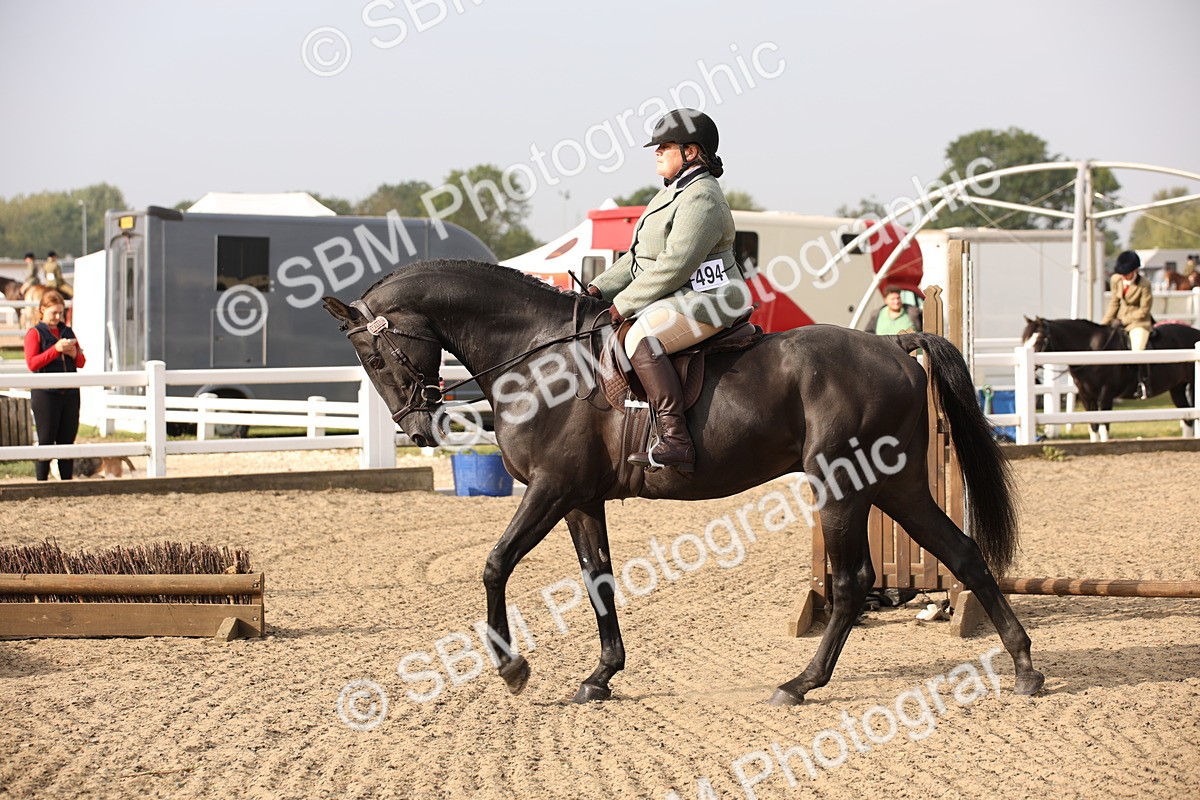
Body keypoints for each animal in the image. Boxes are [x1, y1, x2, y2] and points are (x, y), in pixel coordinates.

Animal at [324, 260, 1044, 705]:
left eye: (373, 356)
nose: (418, 428)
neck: (537, 359)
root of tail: (894, 347)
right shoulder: (580, 499)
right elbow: (598, 580)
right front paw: (601, 675)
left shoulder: (551, 489)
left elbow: (496, 565)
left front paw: (513, 668)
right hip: (895, 486)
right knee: (962, 554)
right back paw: (1026, 667)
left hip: (842, 487)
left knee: (852, 584)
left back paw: (800, 683)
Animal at [1020, 317, 1200, 442]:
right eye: (1024, 339)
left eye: (1038, 339)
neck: (1091, 351)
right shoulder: (1086, 396)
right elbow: (1093, 425)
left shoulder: (1106, 394)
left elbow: (1104, 424)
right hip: (1177, 388)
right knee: (1187, 416)